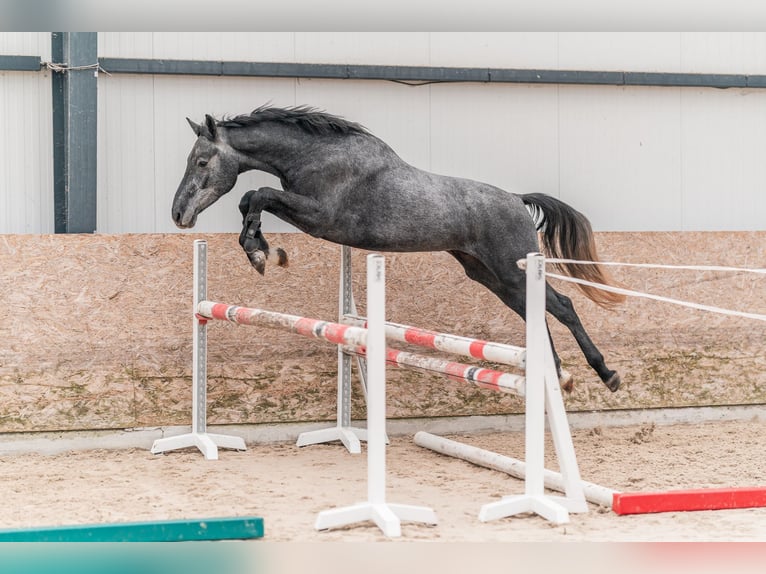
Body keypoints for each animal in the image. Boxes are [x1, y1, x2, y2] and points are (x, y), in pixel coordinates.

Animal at [172, 106, 624, 394]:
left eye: (201, 162)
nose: (179, 214)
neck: (317, 155)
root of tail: (516, 199)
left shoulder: (321, 217)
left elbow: (258, 194)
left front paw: (262, 253)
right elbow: (251, 199)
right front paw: (263, 250)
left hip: (510, 269)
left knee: (562, 305)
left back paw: (606, 374)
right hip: (490, 275)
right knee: (537, 311)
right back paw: (559, 375)